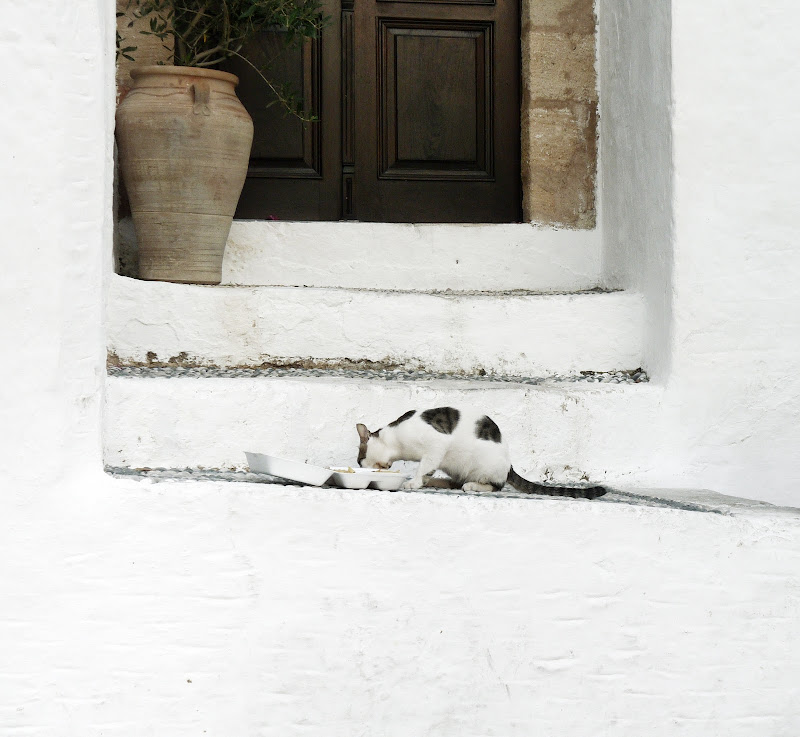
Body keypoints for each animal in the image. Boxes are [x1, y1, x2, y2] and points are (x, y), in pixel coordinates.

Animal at [356, 402, 608, 500]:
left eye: (359, 461)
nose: (358, 465)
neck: (395, 441)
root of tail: (509, 464)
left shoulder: (437, 444)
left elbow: (424, 467)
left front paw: (414, 482)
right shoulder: (435, 455)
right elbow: (427, 469)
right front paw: (422, 480)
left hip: (485, 465)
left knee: (496, 485)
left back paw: (473, 486)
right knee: (455, 481)